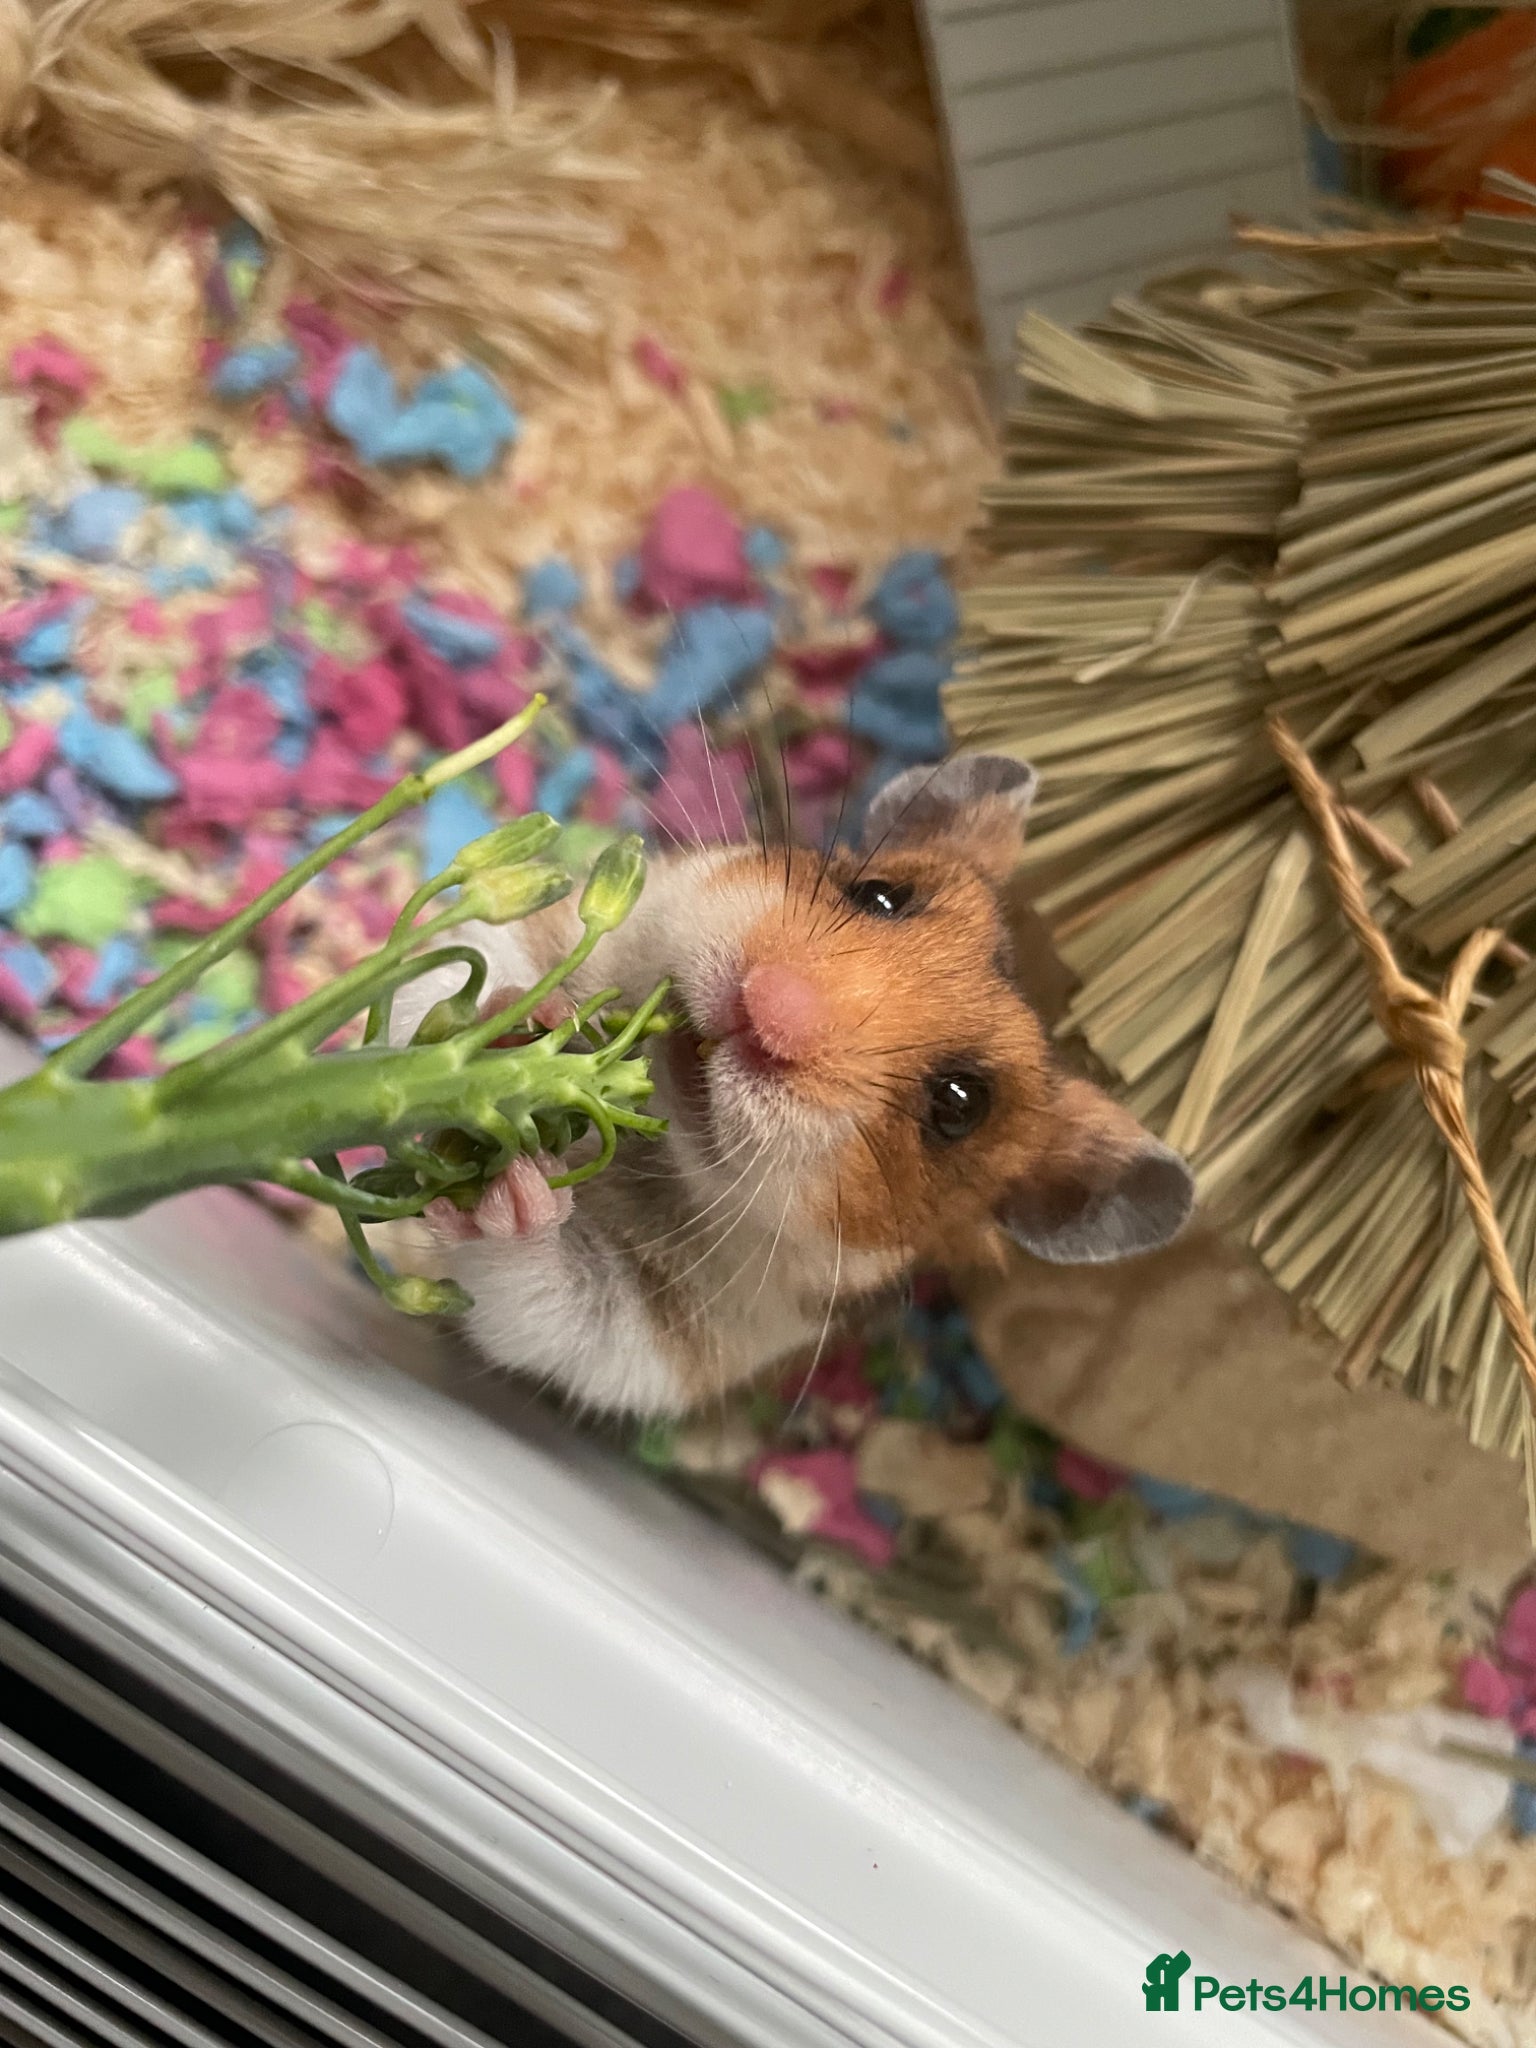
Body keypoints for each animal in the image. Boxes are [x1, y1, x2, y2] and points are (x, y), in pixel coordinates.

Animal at [388, 753, 1195, 1416]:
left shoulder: (655, 1341)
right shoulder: (552, 927)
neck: (662, 1155)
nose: (767, 1008)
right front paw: (510, 1027)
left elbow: (547, 1301)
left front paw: (514, 1192)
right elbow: (442, 983)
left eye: (960, 1104)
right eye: (879, 895)